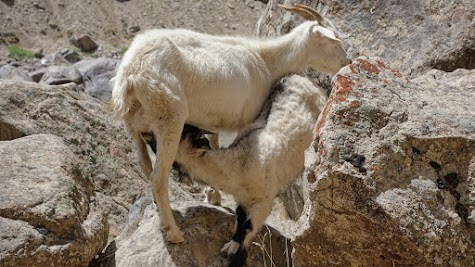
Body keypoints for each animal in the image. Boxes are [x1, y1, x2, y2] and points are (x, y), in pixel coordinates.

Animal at [177, 74, 330, 266]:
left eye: (183, 132)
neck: (240, 164)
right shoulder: (243, 198)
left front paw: (236, 258)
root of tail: (298, 77)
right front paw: (231, 246)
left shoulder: (264, 200)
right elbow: (240, 219)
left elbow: (248, 227)